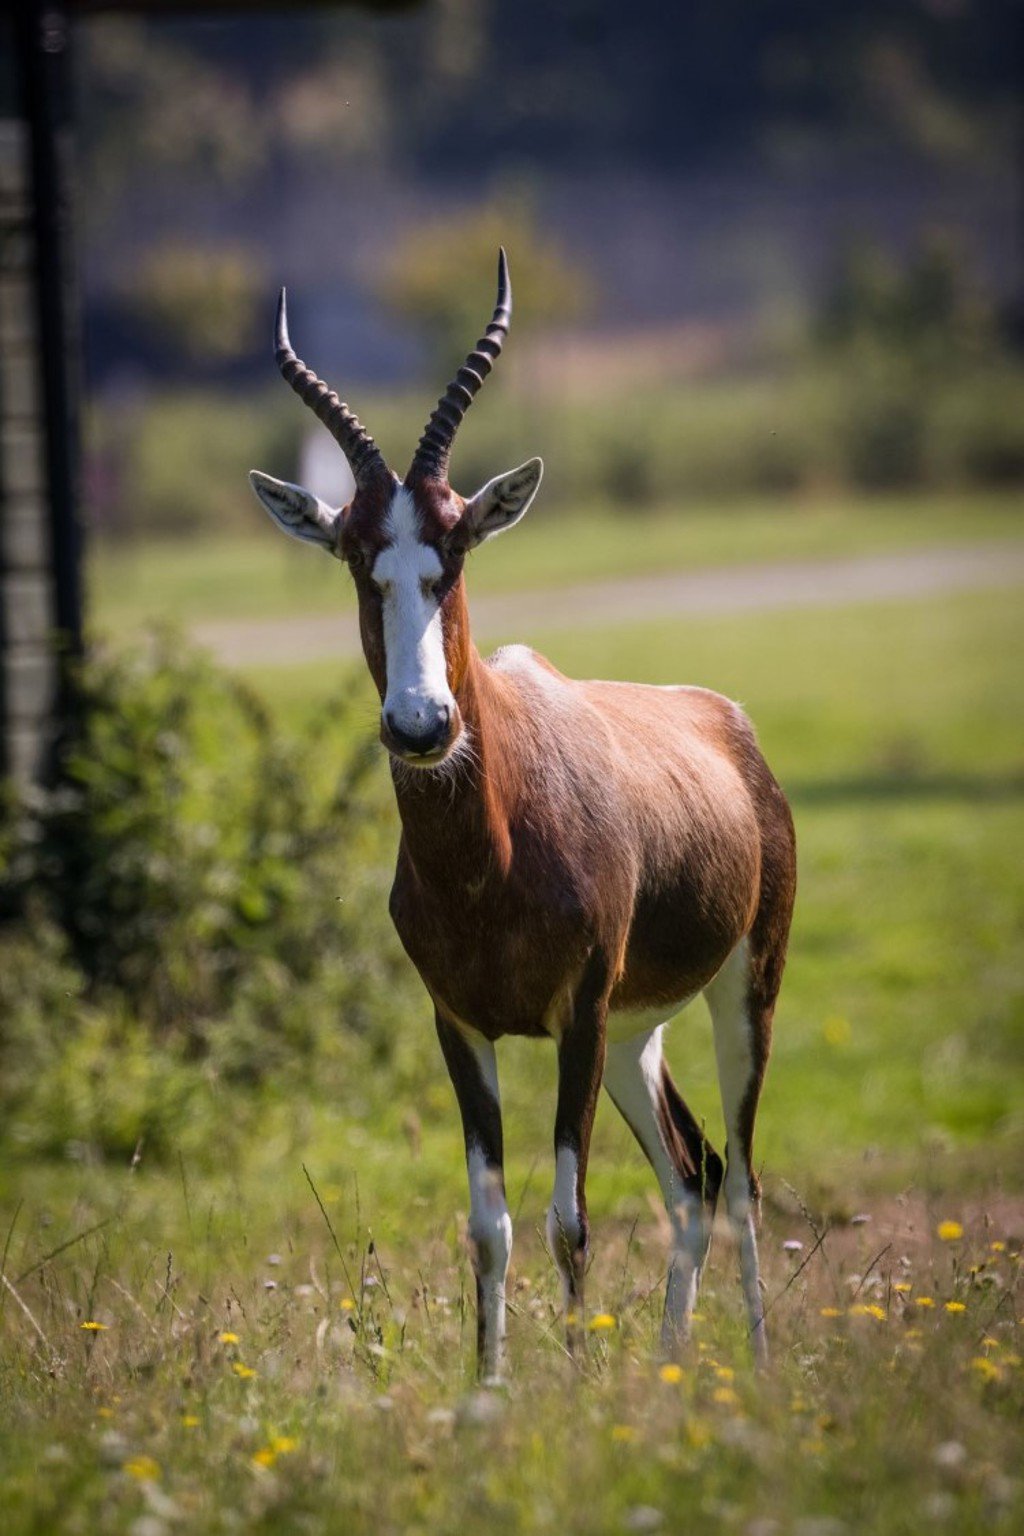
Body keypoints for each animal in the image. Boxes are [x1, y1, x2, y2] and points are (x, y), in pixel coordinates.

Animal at [251, 254, 798, 1382]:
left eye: (454, 549)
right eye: (356, 555)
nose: (421, 725)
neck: (486, 857)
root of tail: (726, 723)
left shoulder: (575, 1018)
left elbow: (569, 1223)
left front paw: (577, 1392)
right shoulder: (461, 1025)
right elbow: (490, 1227)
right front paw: (490, 1392)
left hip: (739, 993)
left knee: (743, 1176)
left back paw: (761, 1372)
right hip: (640, 1035)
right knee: (694, 1175)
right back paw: (670, 1367)